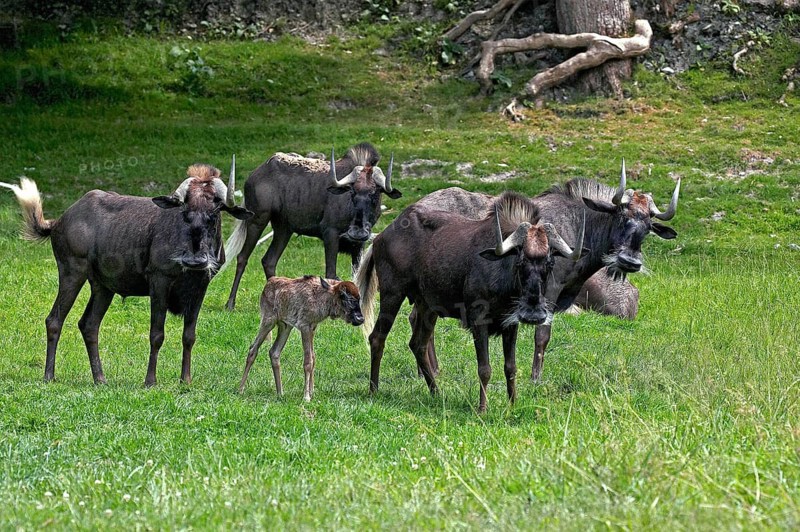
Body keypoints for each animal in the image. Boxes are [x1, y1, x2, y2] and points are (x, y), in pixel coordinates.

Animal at [0, 159, 253, 386]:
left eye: (216, 210)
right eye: (185, 211)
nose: (195, 260)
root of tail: (58, 221)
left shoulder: (200, 287)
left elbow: (189, 336)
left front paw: (186, 380)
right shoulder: (159, 283)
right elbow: (156, 335)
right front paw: (150, 381)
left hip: (103, 287)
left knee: (89, 325)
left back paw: (100, 379)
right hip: (72, 273)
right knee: (54, 320)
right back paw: (49, 376)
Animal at [222, 142, 402, 310]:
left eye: (375, 193)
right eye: (352, 192)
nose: (357, 232)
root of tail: (253, 175)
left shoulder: (359, 245)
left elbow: (356, 276)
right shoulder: (330, 234)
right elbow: (331, 273)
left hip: (283, 228)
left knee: (269, 261)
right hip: (257, 220)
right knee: (242, 257)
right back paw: (230, 303)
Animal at [355, 191, 585, 412]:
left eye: (550, 262)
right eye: (520, 261)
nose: (534, 314)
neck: (501, 272)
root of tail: (381, 236)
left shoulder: (511, 324)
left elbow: (510, 367)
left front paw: (512, 405)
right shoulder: (478, 321)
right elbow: (484, 369)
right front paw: (482, 408)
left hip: (427, 306)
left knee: (418, 344)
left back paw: (436, 393)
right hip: (392, 295)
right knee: (377, 338)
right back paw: (374, 390)